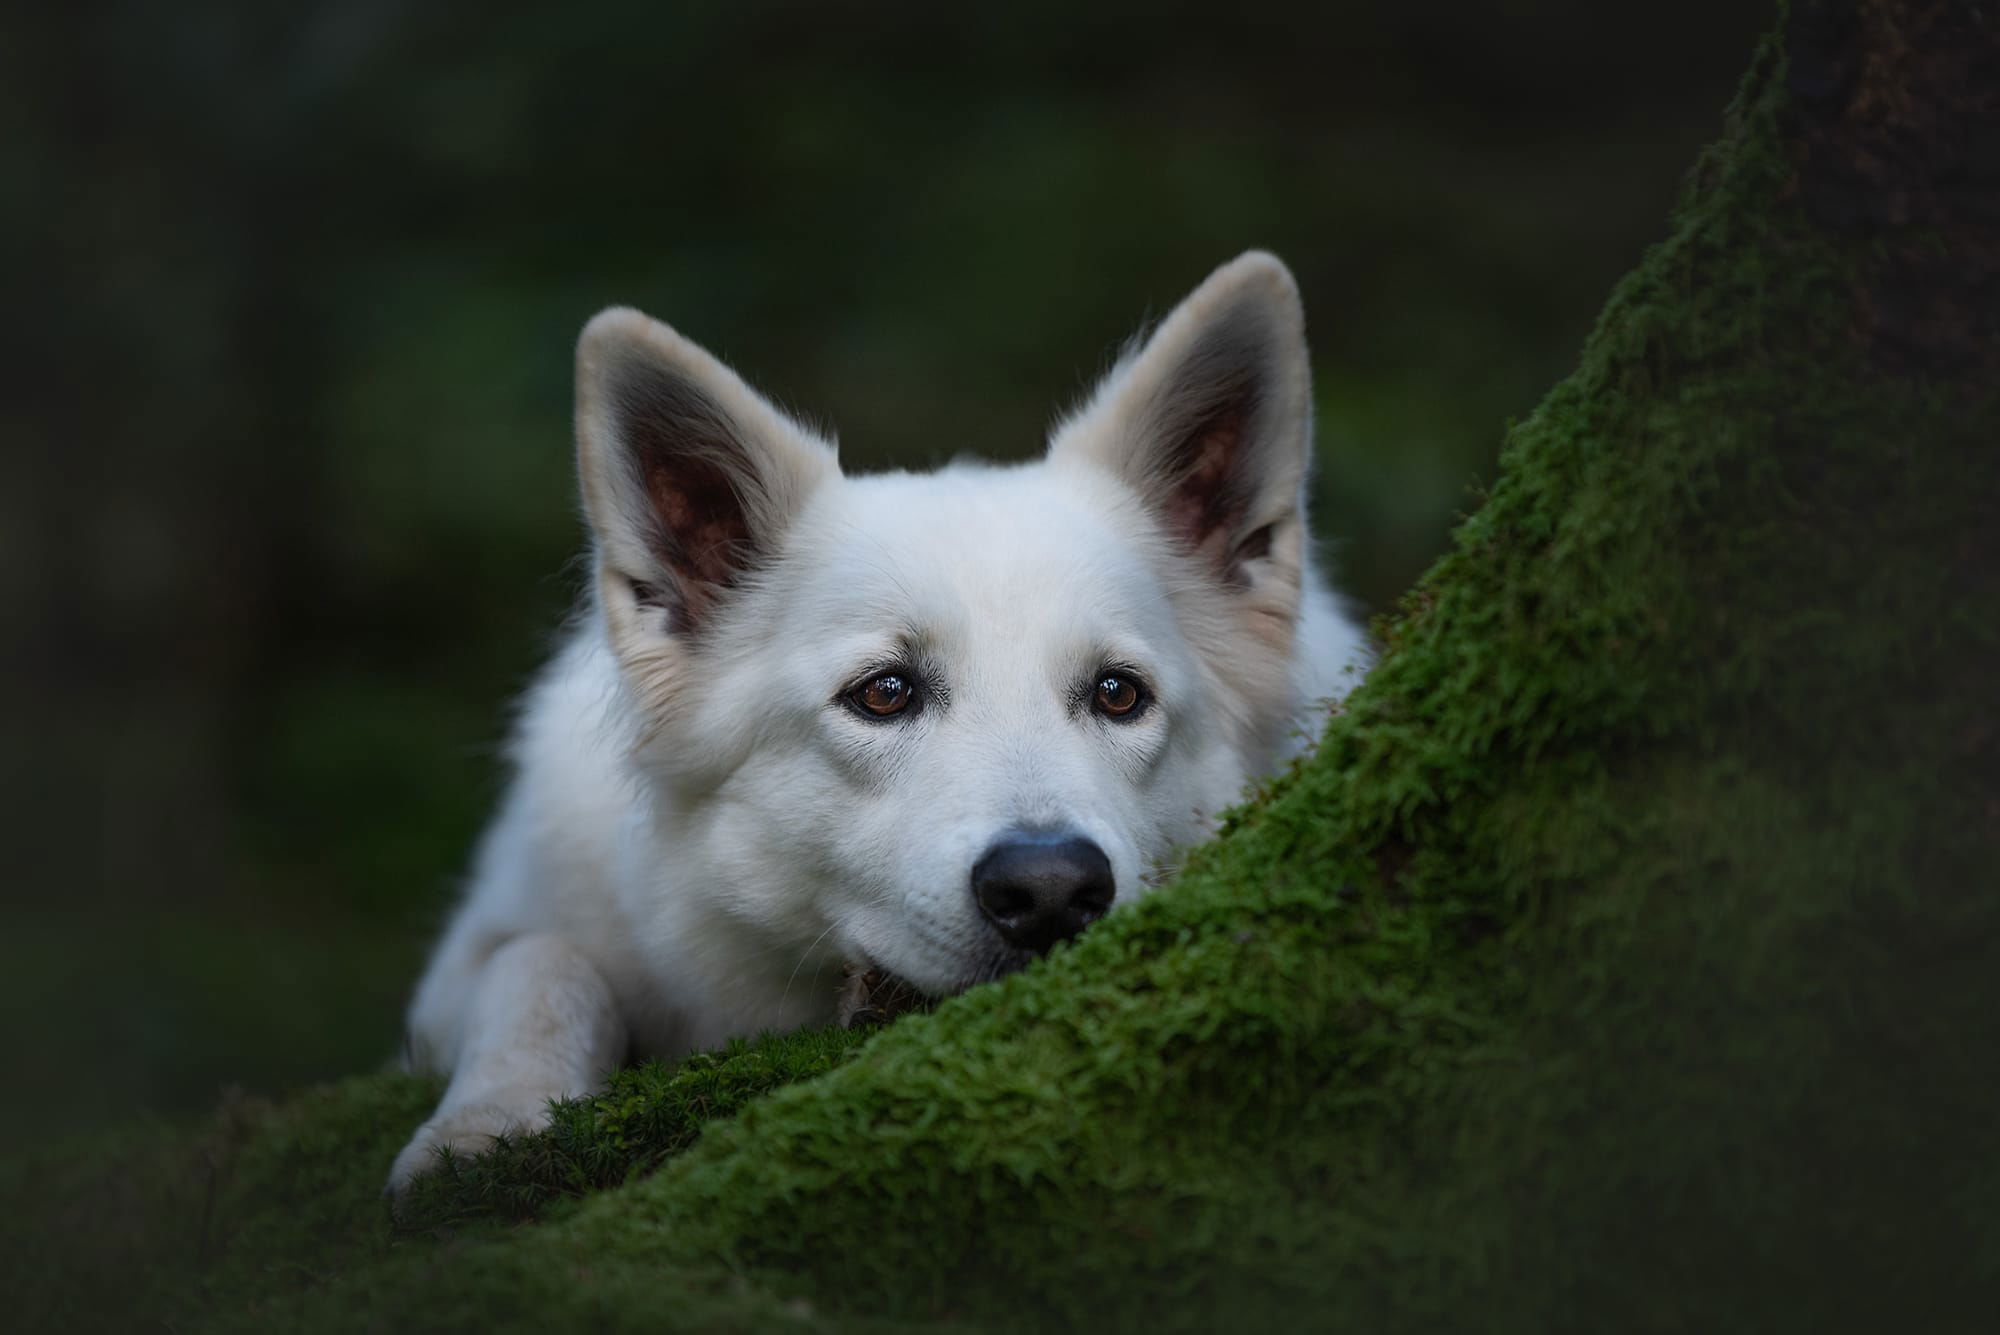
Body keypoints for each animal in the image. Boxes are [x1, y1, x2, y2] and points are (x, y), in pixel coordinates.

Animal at [384, 249, 1368, 1191]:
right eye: (884, 692)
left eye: (1119, 693)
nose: (1052, 890)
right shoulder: (478, 951)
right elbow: (538, 967)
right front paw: (485, 1126)